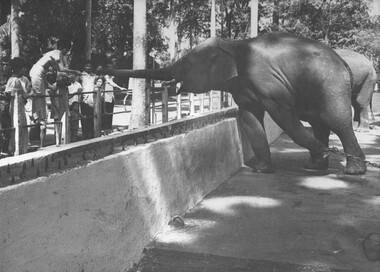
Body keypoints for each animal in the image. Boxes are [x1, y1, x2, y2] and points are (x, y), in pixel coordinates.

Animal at [113, 31, 368, 174]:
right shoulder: (241, 87)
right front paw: (261, 170)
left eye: (186, 65)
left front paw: (322, 151)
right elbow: (250, 118)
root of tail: (344, 64)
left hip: (331, 85)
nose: (95, 67)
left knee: (337, 121)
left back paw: (352, 170)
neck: (233, 43)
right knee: (318, 122)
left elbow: (283, 116)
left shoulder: (266, 80)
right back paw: (316, 165)